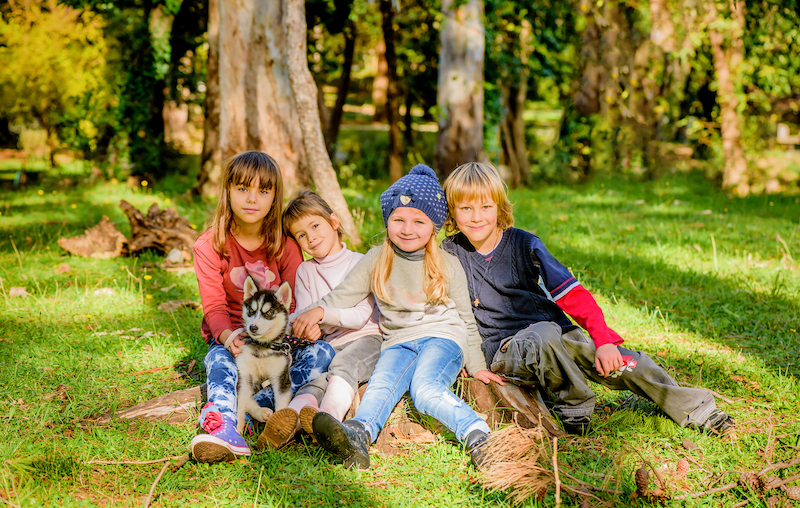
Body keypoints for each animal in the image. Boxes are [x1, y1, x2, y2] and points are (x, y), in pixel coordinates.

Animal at [234, 276, 294, 434]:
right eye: (251, 310)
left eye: (268, 313)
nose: (253, 327)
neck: (262, 348)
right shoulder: (243, 374)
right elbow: (240, 404)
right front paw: (237, 429)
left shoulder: (281, 377)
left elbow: (281, 404)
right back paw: (261, 412)